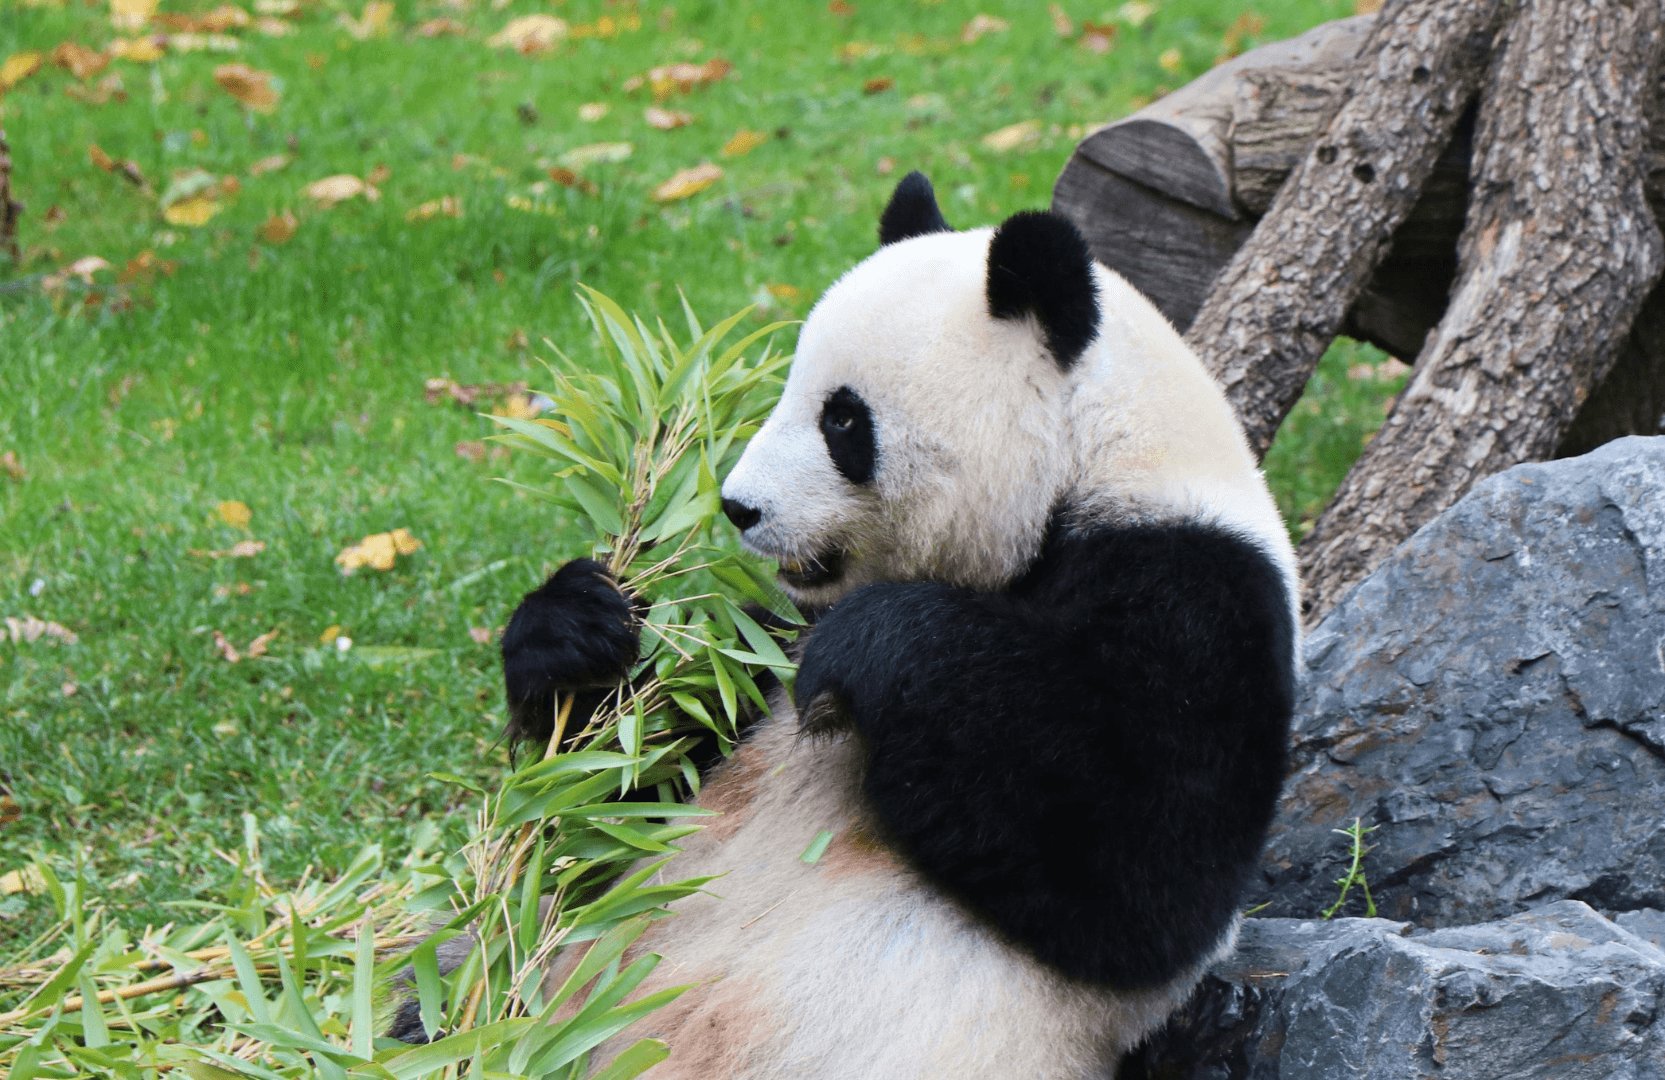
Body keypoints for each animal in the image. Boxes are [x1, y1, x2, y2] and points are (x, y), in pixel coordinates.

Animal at [494, 172, 1300, 1078]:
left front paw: (872, 645)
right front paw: (578, 630)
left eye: (842, 419)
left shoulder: (1197, 587)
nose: (738, 506)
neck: (1089, 465)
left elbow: (1145, 874)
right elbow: (626, 785)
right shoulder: (760, 656)